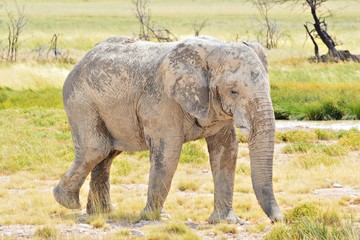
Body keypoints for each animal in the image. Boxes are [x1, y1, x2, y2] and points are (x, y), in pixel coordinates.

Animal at [53, 35, 282, 223]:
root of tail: (82, 59)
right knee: (96, 149)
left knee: (108, 153)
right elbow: (168, 152)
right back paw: (67, 202)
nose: (278, 220)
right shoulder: (163, 101)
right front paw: (155, 218)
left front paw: (224, 221)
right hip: (80, 101)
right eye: (233, 91)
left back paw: (101, 212)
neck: (213, 50)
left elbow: (227, 151)